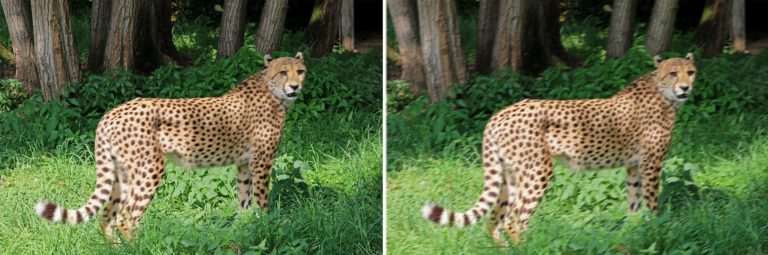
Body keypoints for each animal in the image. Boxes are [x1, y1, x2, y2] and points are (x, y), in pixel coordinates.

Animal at [35, 52, 306, 243]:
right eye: (283, 72)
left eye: (300, 71)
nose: (295, 86)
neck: (272, 91)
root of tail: (111, 113)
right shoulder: (262, 162)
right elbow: (262, 200)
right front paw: (266, 226)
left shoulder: (243, 163)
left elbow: (244, 199)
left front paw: (244, 227)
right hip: (150, 168)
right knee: (126, 217)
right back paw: (138, 248)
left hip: (122, 173)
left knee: (106, 216)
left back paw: (117, 248)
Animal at [420, 53, 696, 245]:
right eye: (673, 73)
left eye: (691, 72)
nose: (686, 88)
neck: (662, 92)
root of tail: (499, 114)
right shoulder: (651, 164)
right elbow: (651, 202)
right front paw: (656, 228)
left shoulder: (634, 165)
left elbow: (634, 201)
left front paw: (633, 231)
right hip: (538, 171)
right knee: (514, 221)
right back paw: (526, 248)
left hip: (509, 175)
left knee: (494, 221)